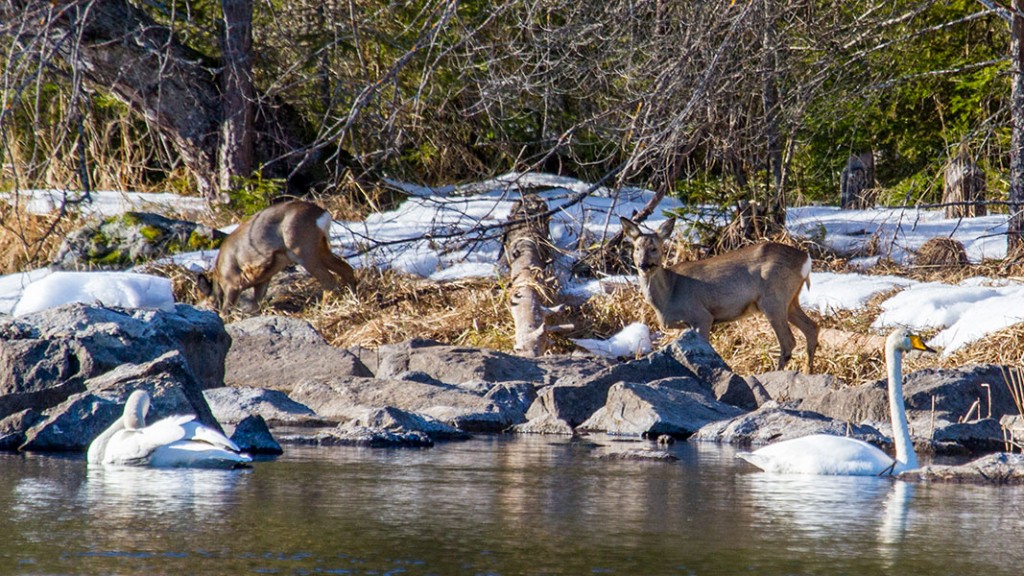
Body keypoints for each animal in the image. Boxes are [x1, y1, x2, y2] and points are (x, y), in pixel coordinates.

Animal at [197, 199, 358, 311]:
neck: (219, 275)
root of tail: (323, 215)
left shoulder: (233, 283)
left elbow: (226, 311)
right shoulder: (262, 279)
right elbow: (256, 307)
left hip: (302, 249)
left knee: (329, 280)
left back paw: (324, 309)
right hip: (321, 247)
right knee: (346, 269)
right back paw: (354, 300)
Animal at [618, 216, 819, 373]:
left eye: (655, 248)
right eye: (637, 248)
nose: (643, 264)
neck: (669, 293)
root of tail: (805, 260)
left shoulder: (701, 315)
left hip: (773, 299)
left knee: (788, 341)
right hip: (791, 300)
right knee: (812, 327)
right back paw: (807, 371)